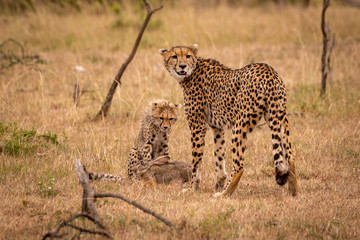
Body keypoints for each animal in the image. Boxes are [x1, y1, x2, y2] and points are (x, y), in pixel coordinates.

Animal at [160, 43, 298, 197]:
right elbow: (219, 155)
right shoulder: (217, 127)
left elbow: (196, 161)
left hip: (240, 124)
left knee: (239, 165)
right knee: (290, 157)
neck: (192, 70)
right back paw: (293, 192)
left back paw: (224, 194)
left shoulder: (197, 126)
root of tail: (267, 70)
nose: (182, 66)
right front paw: (219, 183)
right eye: (174, 56)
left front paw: (192, 188)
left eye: (187, 56)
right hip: (279, 118)